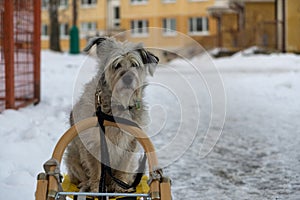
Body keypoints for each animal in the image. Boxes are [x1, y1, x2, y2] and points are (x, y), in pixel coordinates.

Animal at [64, 36, 159, 193]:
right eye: (116, 65)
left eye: (134, 64)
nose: (128, 78)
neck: (118, 104)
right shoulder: (93, 143)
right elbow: (95, 168)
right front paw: (96, 188)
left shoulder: (130, 144)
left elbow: (123, 167)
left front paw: (121, 187)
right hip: (72, 155)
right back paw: (85, 184)